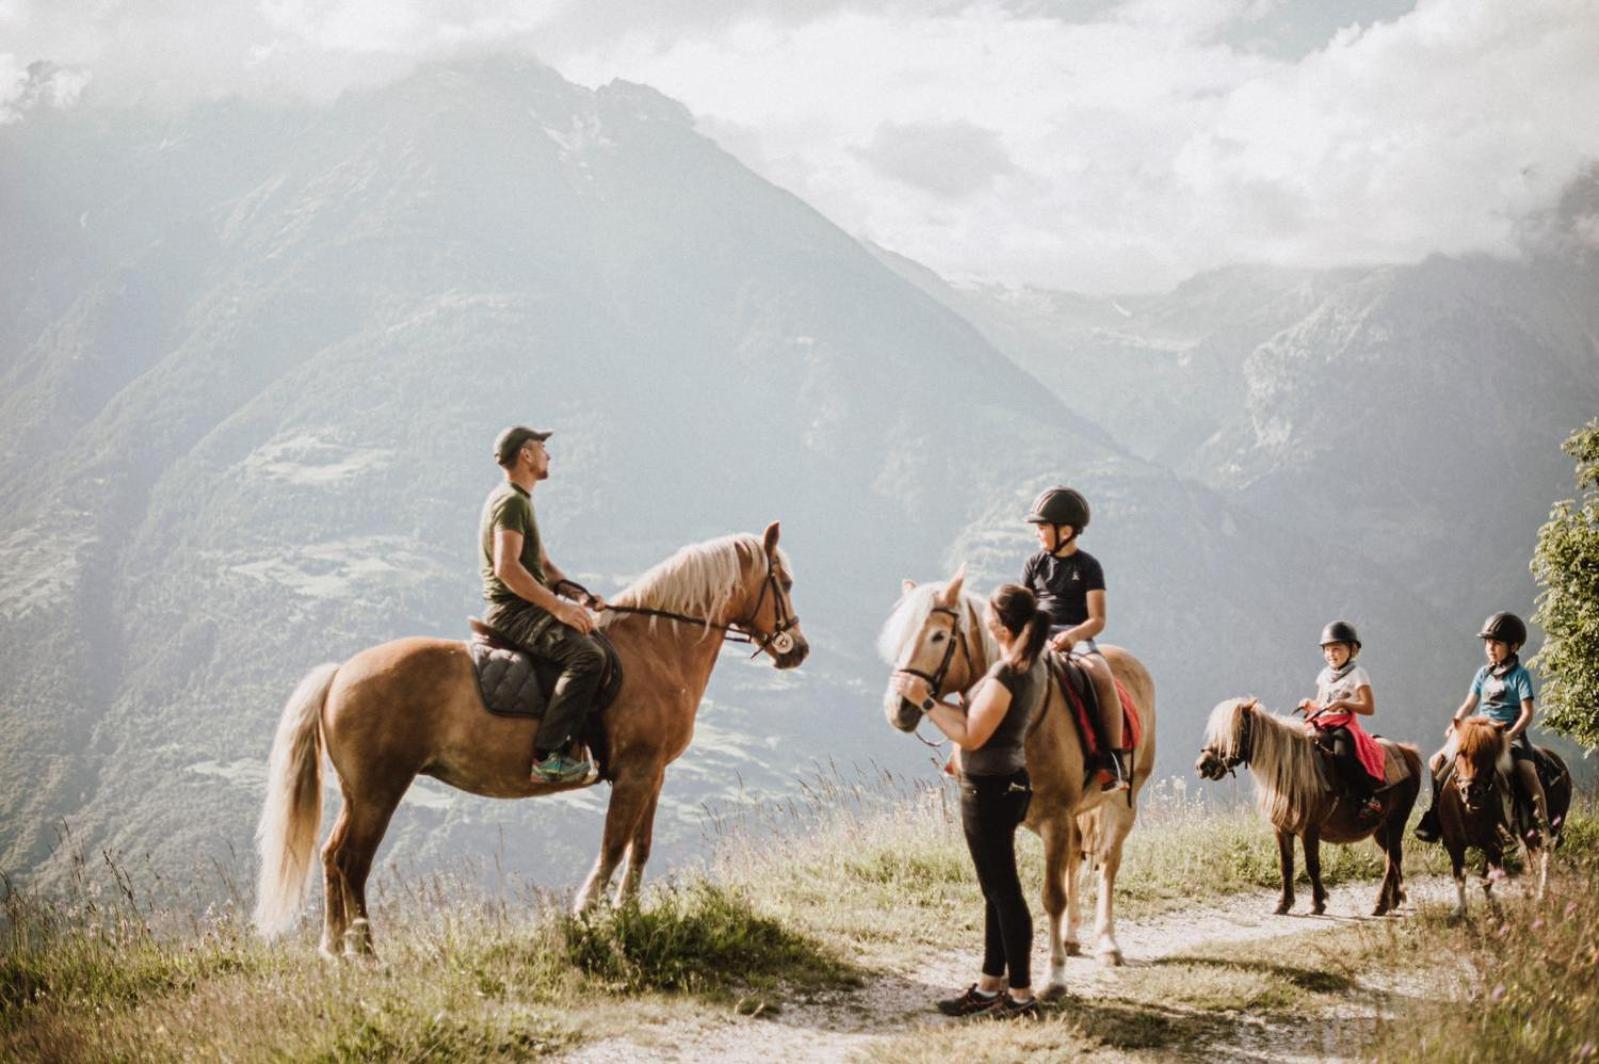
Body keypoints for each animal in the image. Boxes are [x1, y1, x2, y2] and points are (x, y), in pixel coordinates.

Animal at [254, 521, 805, 953]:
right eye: (785, 581)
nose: (797, 649)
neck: (656, 651)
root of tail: (340, 673)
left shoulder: (653, 774)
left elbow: (640, 848)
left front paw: (627, 916)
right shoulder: (636, 774)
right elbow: (613, 846)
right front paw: (586, 914)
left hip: (360, 793)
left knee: (333, 858)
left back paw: (335, 949)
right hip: (378, 790)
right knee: (352, 861)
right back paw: (363, 953)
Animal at [882, 569, 1157, 992]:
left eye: (938, 636)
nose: (898, 707)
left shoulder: (1055, 819)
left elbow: (1051, 896)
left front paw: (1054, 976)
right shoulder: (1017, 821)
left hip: (1124, 800)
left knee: (1108, 863)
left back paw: (1107, 944)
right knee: (1076, 858)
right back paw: (1072, 937)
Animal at [1196, 697, 1419, 915]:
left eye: (1237, 730)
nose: (1202, 765)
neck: (1291, 772)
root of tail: (1407, 752)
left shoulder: (1309, 829)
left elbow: (1312, 865)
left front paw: (1317, 903)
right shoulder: (1281, 829)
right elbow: (1286, 865)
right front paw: (1284, 903)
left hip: (1397, 819)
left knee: (1393, 857)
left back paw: (1381, 903)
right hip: (1380, 828)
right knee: (1392, 858)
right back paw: (1393, 900)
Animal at [1445, 713, 1567, 915]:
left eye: (1489, 756)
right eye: (1460, 752)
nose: (1470, 791)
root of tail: (1558, 761)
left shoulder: (1494, 845)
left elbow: (1486, 880)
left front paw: (1494, 908)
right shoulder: (1454, 845)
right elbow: (1460, 878)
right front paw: (1460, 910)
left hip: (1553, 826)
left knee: (1545, 855)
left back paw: (1541, 896)